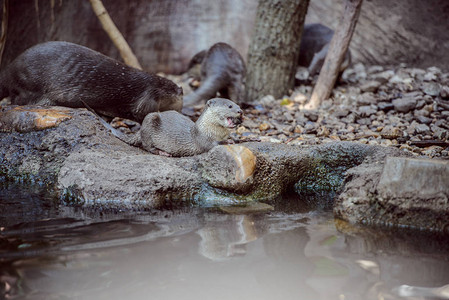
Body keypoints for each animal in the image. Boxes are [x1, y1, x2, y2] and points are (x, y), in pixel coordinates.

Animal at [91, 97, 243, 157]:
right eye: (230, 106)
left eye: (237, 104)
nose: (240, 110)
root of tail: (139, 131)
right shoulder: (202, 138)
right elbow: (212, 145)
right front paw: (227, 141)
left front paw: (234, 139)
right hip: (150, 119)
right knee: (147, 146)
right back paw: (162, 152)